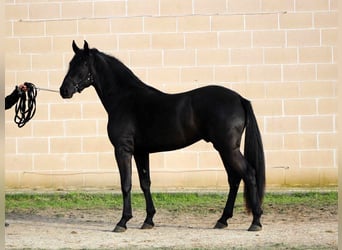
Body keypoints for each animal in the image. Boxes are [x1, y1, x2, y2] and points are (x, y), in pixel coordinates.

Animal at [60, 40, 266, 232]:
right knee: (234, 179)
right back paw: (222, 220)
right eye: (70, 63)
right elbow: (145, 183)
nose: (64, 91)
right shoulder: (141, 152)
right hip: (224, 149)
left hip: (228, 149)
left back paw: (255, 221)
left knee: (249, 173)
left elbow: (126, 184)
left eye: (81, 65)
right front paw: (148, 220)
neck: (125, 99)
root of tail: (239, 98)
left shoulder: (123, 149)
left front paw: (123, 222)